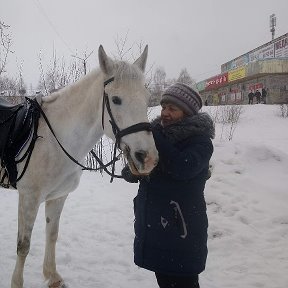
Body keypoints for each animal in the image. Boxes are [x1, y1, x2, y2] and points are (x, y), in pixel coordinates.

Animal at [9, 45, 159, 288]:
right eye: (116, 99)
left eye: (147, 98)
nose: (148, 158)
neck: (53, 140)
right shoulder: (28, 198)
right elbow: (23, 245)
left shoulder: (57, 197)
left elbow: (52, 235)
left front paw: (52, 276)